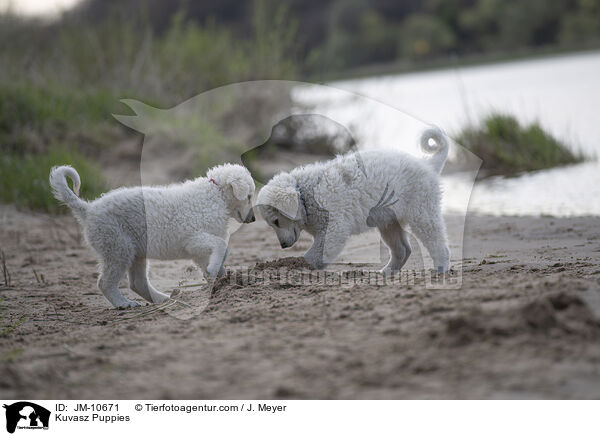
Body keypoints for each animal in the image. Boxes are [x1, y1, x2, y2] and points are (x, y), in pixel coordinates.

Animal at [49, 162, 255, 308]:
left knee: (137, 283)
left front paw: (220, 280)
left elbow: (220, 253)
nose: (253, 219)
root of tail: (89, 209)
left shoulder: (199, 248)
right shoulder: (193, 239)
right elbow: (221, 245)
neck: (216, 194)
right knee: (105, 283)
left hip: (136, 252)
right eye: (249, 196)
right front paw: (215, 273)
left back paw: (164, 299)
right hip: (117, 247)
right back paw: (124, 304)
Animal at [258, 126, 450, 274]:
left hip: (422, 212)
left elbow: (316, 254)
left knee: (438, 243)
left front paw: (300, 265)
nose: (283, 246)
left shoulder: (335, 228)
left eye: (276, 221)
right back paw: (386, 272)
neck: (305, 195)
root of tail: (428, 165)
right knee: (402, 250)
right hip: (388, 222)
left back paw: (441, 269)